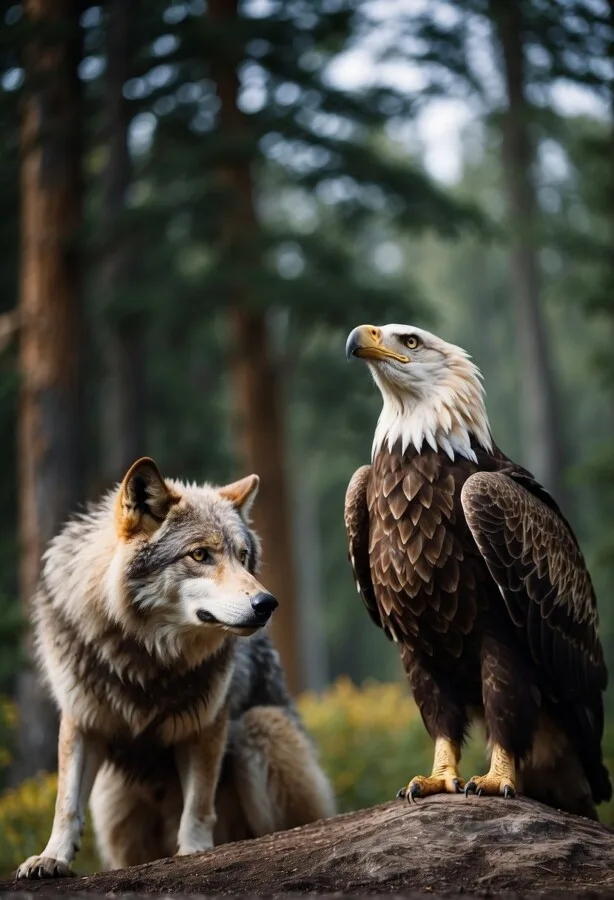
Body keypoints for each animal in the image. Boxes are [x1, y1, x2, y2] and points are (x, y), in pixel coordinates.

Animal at [17, 456, 335, 879]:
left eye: (243, 556)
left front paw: (195, 852)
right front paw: (51, 858)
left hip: (262, 727)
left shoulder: (206, 724)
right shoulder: (81, 719)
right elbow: (65, 804)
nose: (267, 604)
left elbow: (198, 802)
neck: (148, 655)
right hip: (113, 806)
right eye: (199, 555)